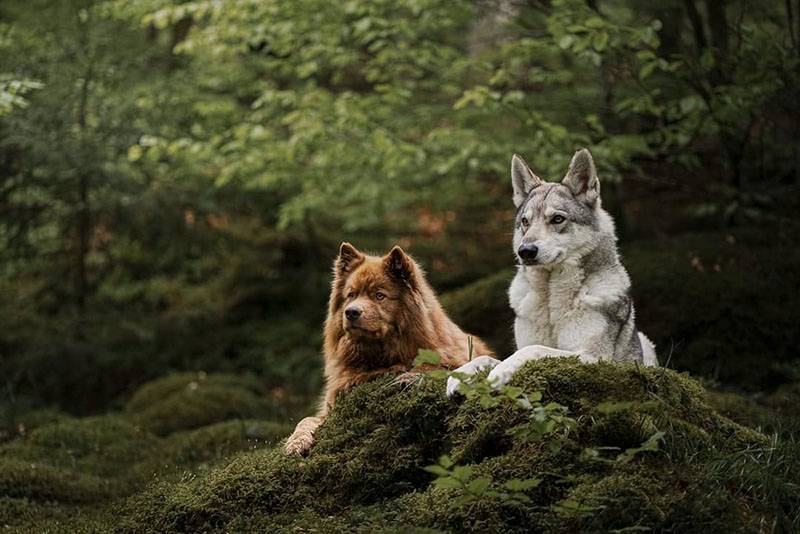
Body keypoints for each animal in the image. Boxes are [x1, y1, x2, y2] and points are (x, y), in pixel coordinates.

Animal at [284, 243, 490, 456]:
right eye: (351, 295)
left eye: (379, 295)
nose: (351, 312)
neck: (379, 357)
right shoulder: (331, 407)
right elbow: (306, 420)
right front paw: (296, 442)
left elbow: (436, 368)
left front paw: (410, 376)